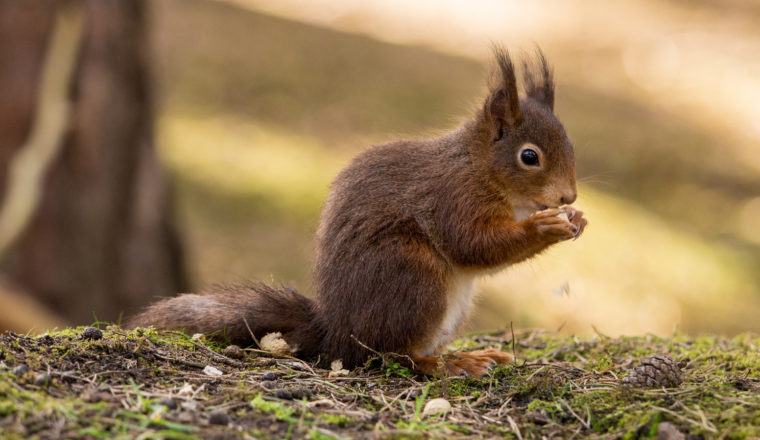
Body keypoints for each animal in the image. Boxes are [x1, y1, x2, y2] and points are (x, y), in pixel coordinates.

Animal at [126, 47, 588, 378]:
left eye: (570, 143)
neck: (476, 167)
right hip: (413, 275)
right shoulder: (452, 198)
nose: (568, 196)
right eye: (529, 156)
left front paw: (577, 221)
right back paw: (448, 364)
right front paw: (544, 228)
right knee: (389, 355)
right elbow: (473, 246)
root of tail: (336, 333)